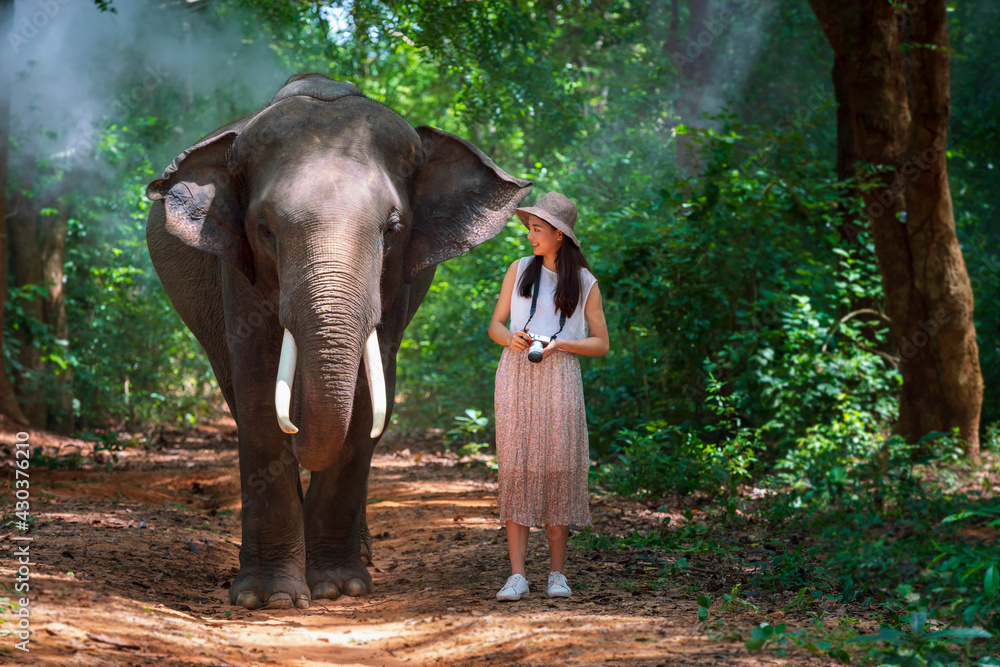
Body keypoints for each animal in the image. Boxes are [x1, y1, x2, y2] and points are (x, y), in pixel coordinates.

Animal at [145, 73, 531, 609]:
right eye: (264, 230)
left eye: (392, 229)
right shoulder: (238, 271)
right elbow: (258, 388)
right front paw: (268, 598)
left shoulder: (395, 285)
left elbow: (369, 397)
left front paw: (337, 587)